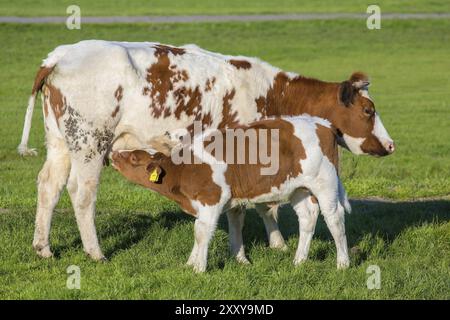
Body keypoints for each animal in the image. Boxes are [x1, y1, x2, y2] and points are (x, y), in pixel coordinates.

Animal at [109, 116, 352, 272]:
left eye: (134, 158)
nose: (113, 154)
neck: (186, 168)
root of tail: (323, 124)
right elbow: (199, 231)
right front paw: (190, 263)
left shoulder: (211, 199)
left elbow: (202, 233)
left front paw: (198, 269)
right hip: (298, 189)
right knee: (307, 217)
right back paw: (299, 261)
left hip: (325, 183)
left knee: (334, 218)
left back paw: (343, 264)